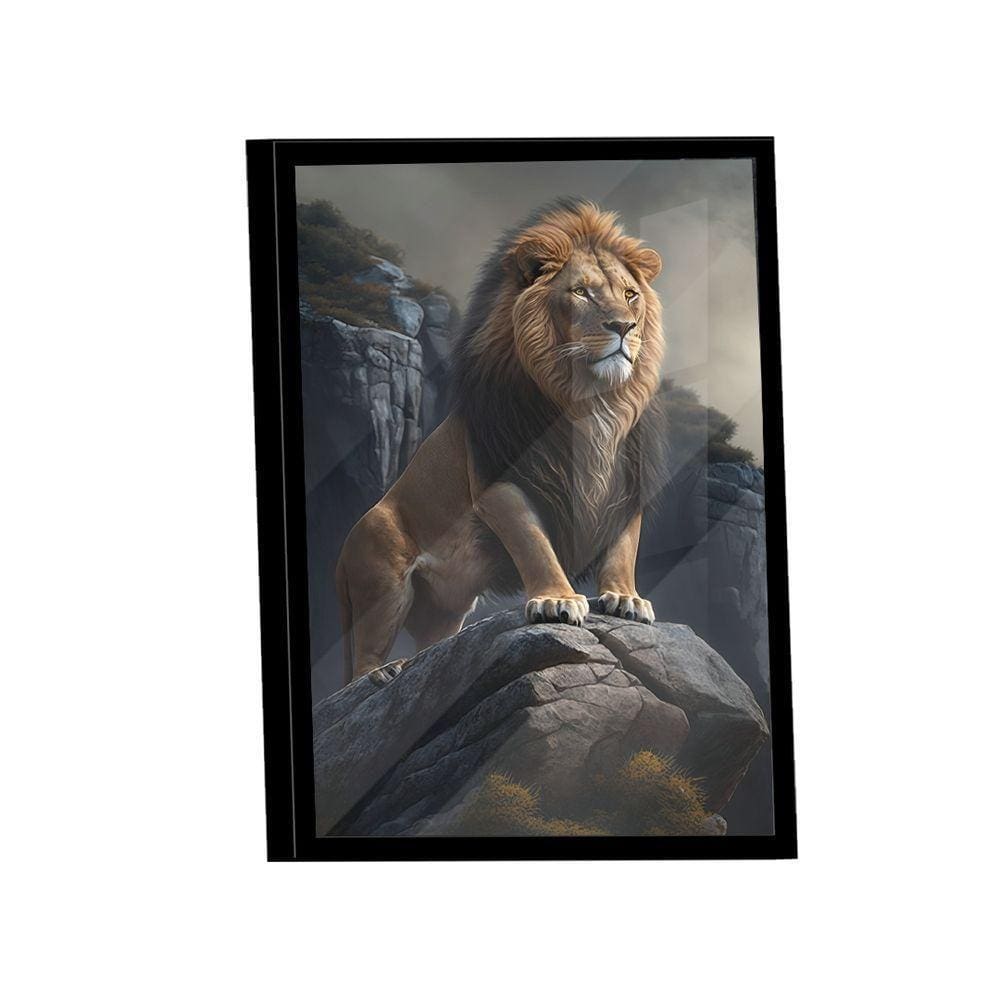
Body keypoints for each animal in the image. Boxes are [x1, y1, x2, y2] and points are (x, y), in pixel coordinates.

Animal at [335, 199, 666, 682]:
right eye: (581, 292)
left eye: (630, 295)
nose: (623, 327)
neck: (591, 402)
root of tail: (339, 558)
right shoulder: (500, 480)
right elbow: (534, 544)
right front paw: (556, 600)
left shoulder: (628, 481)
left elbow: (623, 546)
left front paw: (625, 597)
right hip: (383, 579)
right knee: (362, 656)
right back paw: (382, 674)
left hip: (444, 607)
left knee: (434, 646)